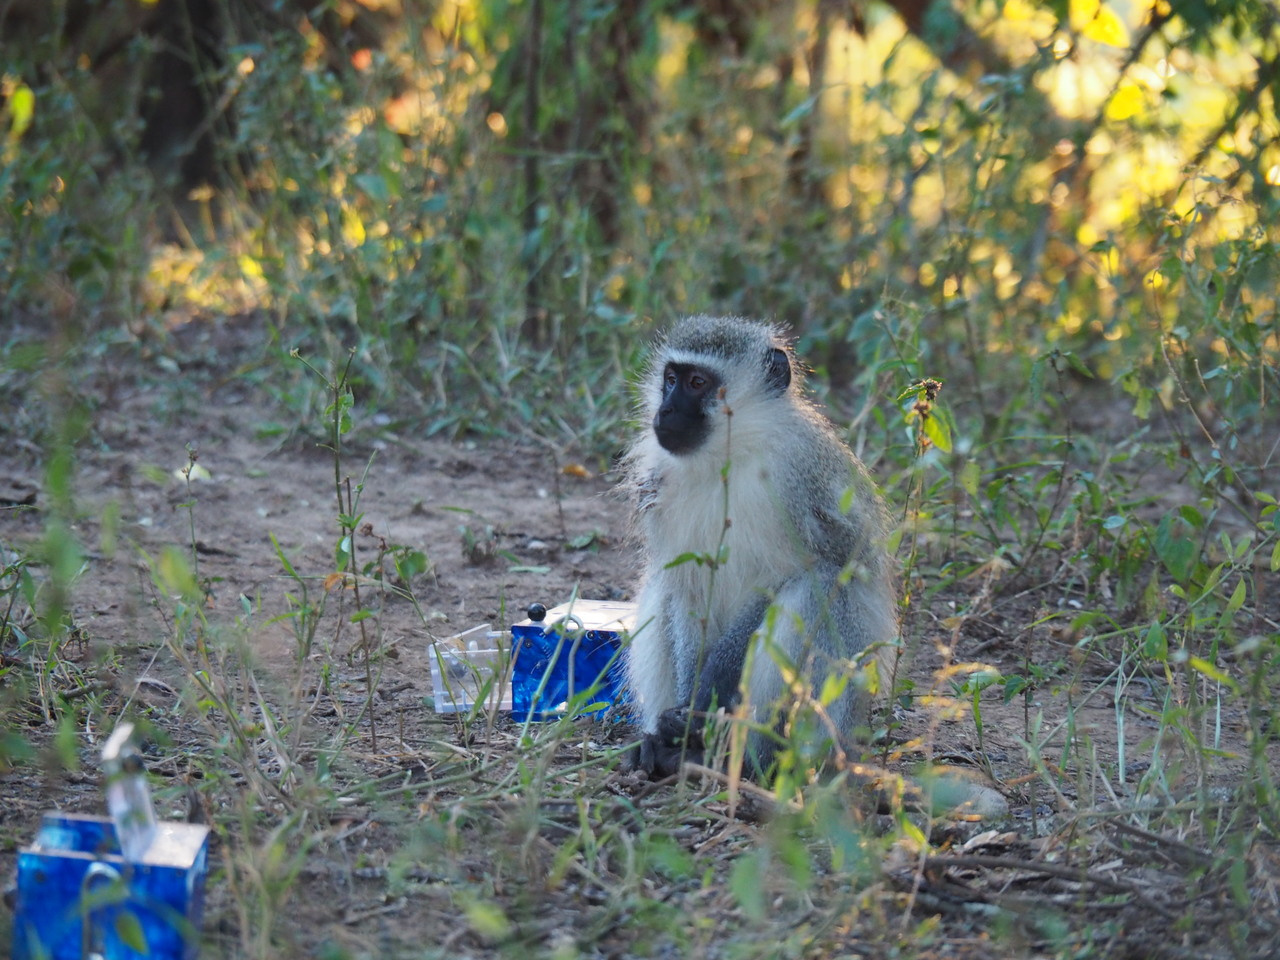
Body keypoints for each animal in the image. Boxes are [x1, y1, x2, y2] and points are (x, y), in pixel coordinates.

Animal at [622, 315, 898, 780]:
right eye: (671, 379)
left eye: (698, 383)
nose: (666, 411)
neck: (730, 455)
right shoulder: (661, 479)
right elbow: (683, 586)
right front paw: (683, 712)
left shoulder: (797, 481)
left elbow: (790, 577)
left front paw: (704, 703)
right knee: (660, 585)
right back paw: (665, 746)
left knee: (821, 587)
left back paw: (753, 759)